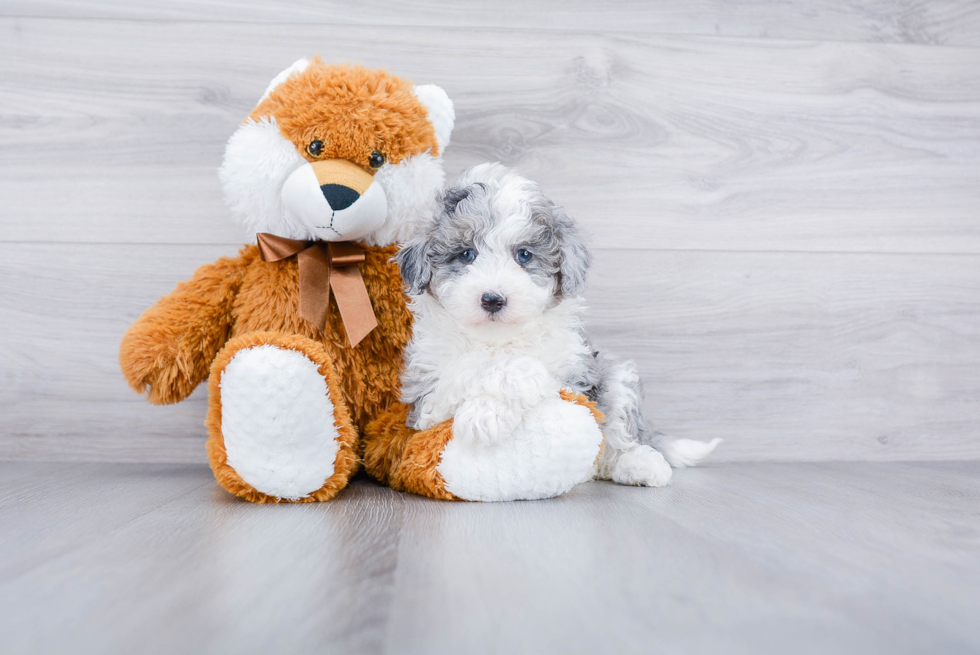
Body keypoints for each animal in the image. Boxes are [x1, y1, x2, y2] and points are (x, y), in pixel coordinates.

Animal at [392, 161, 720, 484]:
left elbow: (525, 368)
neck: (498, 339)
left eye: (524, 255)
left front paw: (483, 414)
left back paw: (639, 464)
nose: (493, 299)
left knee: (618, 437)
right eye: (465, 254)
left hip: (616, 377)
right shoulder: (426, 398)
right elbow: (469, 369)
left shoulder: (573, 373)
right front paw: (483, 413)